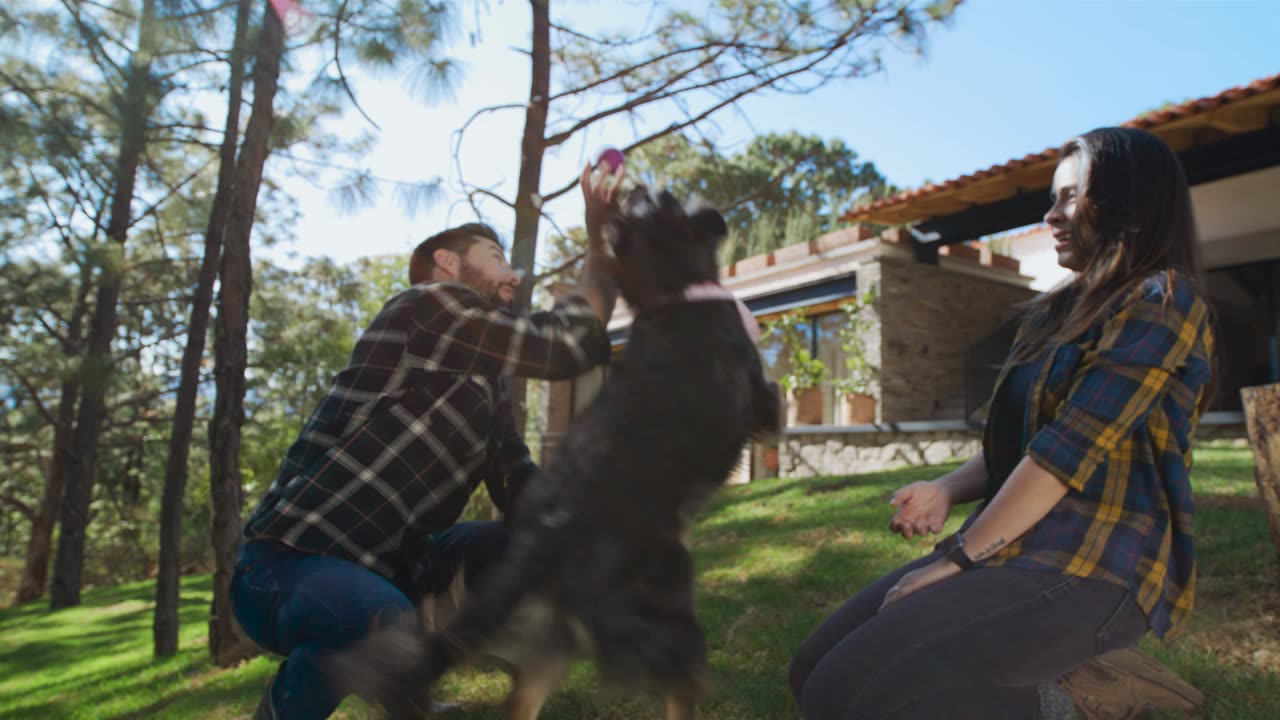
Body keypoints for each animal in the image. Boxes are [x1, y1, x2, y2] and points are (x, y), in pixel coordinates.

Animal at [414, 188, 773, 712]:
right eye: (667, 199)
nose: (638, 189)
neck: (670, 292)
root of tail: (544, 535)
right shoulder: (762, 401)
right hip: (670, 610)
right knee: (683, 688)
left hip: (549, 646)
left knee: (521, 700)